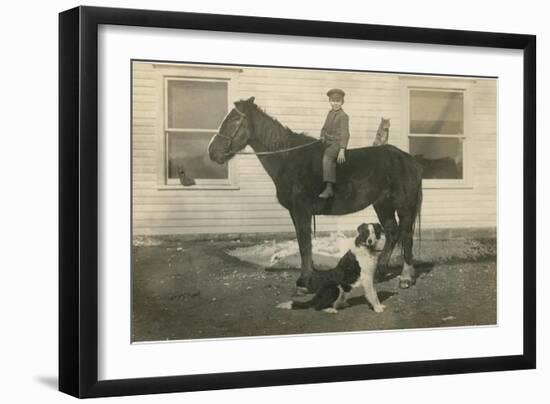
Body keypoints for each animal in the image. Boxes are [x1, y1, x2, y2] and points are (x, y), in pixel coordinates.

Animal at [209, 98, 424, 290]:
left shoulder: (301, 210)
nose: (212, 152)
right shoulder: (295, 212)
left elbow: (304, 244)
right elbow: (303, 243)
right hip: (382, 204)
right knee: (392, 232)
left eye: (234, 120)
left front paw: (304, 281)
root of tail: (409, 159)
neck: (288, 158)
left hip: (404, 206)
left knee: (406, 236)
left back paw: (406, 277)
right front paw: (308, 276)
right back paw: (379, 271)